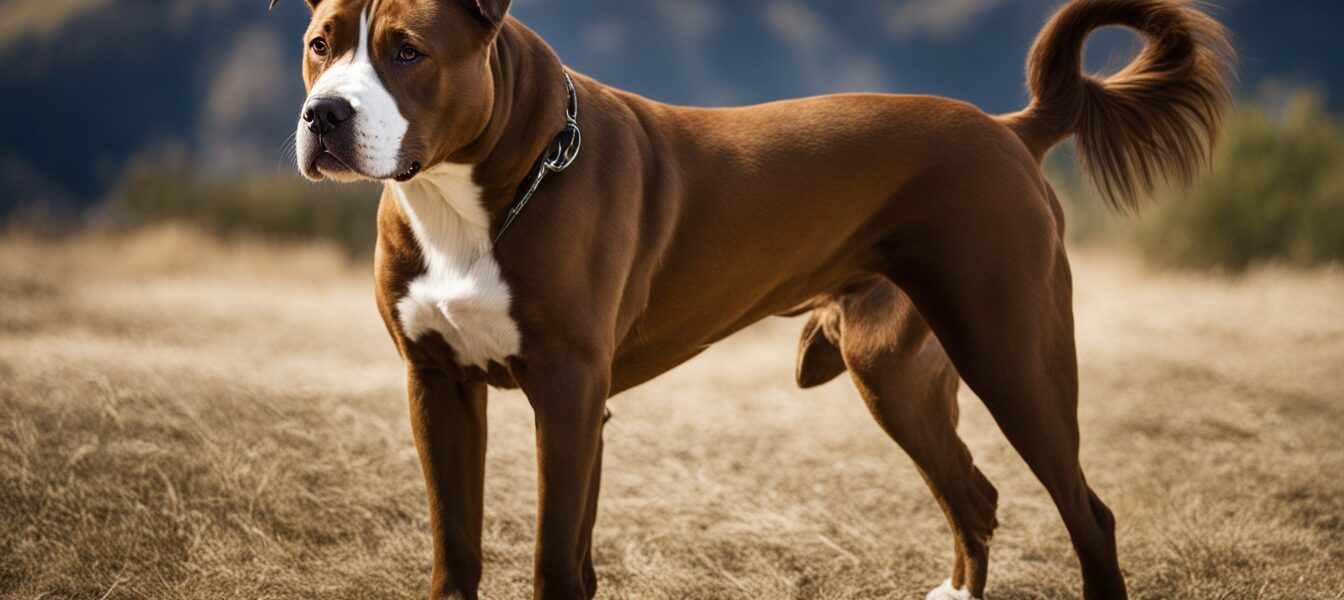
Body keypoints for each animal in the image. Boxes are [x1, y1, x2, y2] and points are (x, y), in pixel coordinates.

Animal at [280, 2, 1231, 597]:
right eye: (320, 43)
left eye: (407, 50)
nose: (324, 115)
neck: (466, 195)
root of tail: (1005, 128)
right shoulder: (438, 385)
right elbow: (461, 550)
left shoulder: (567, 389)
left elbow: (553, 559)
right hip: (895, 373)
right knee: (974, 496)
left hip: (1011, 349)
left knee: (1088, 513)